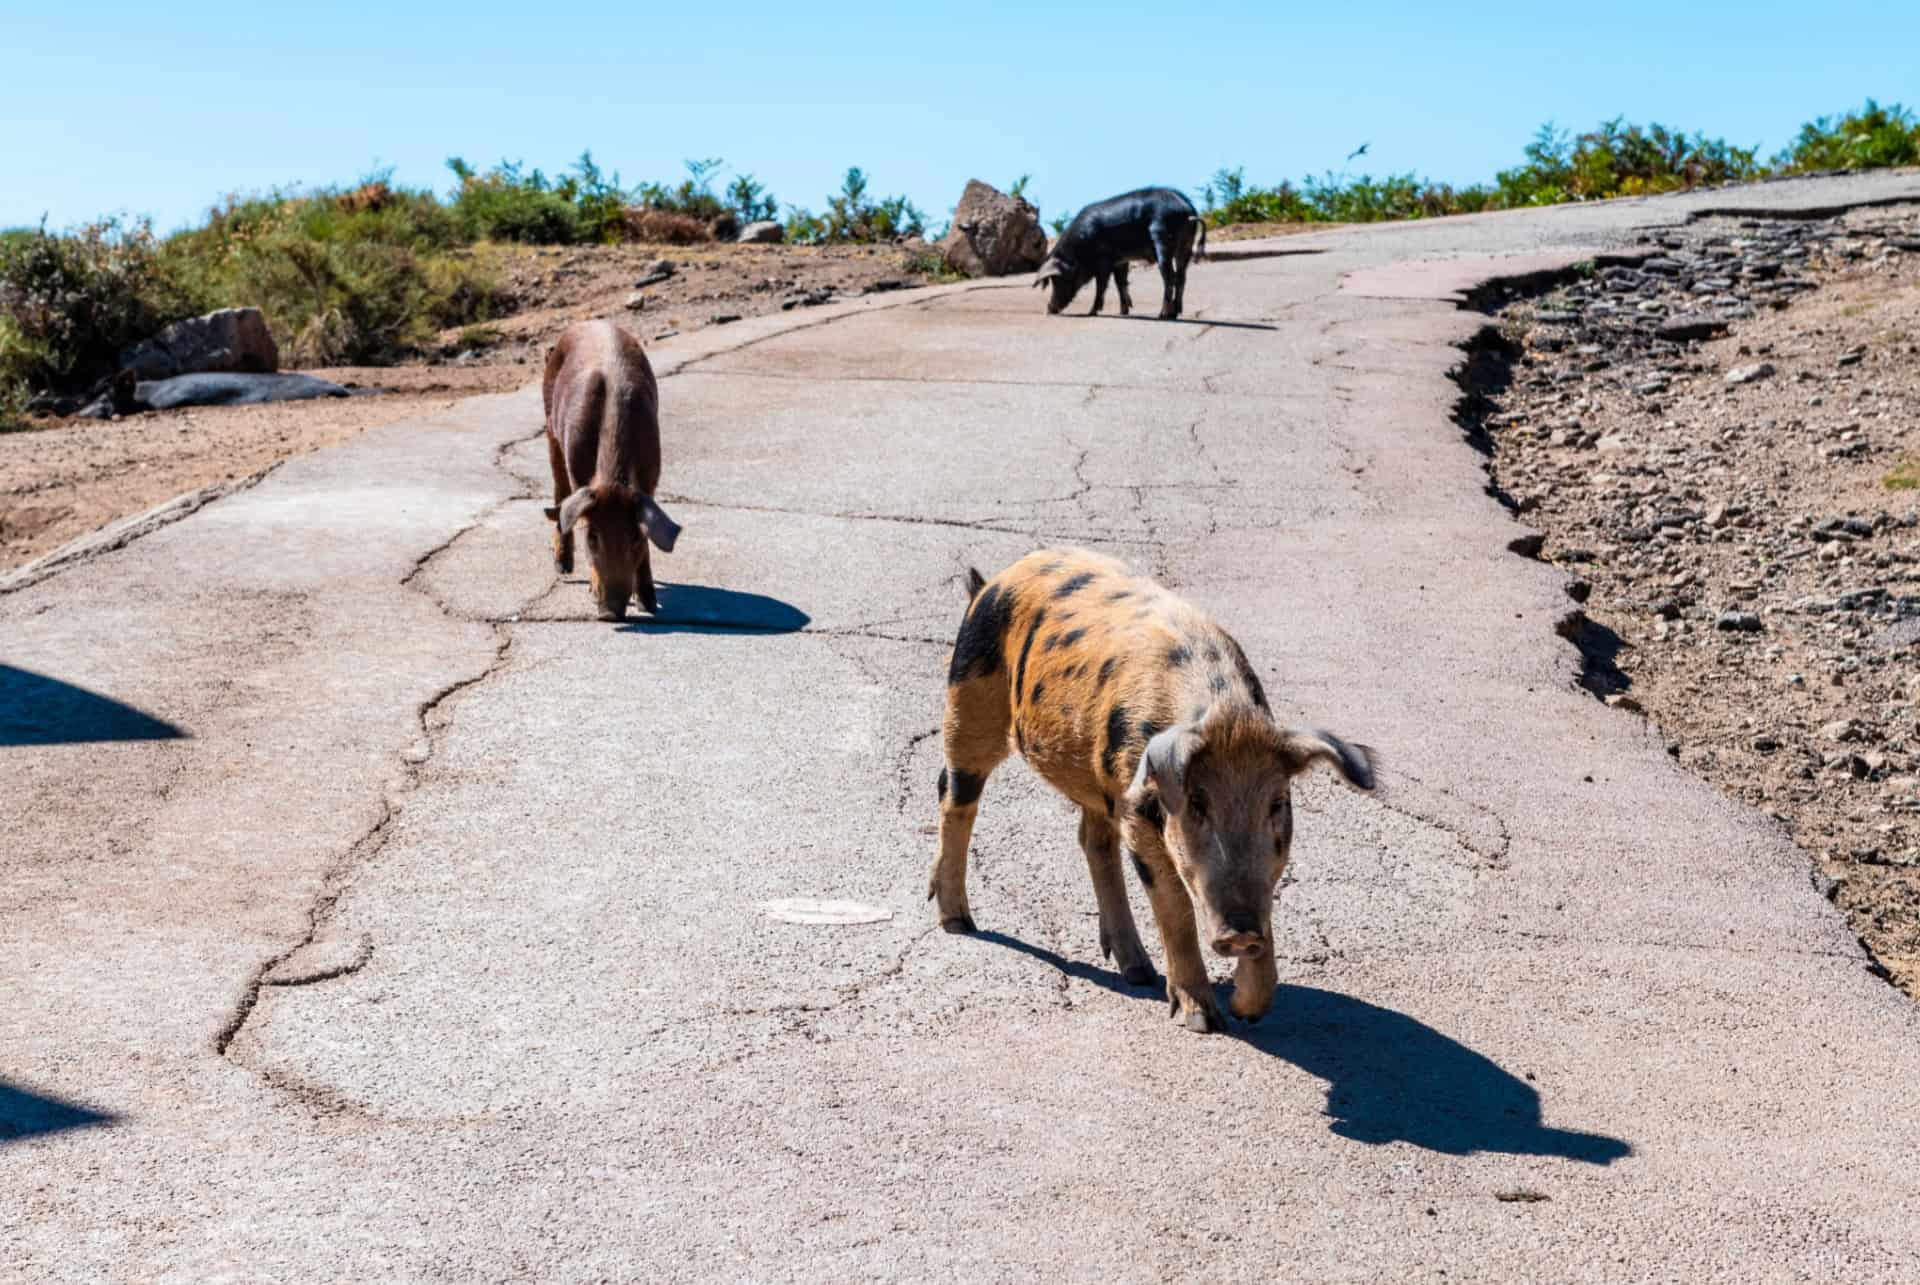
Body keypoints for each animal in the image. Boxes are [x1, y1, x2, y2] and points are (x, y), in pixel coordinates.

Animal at [541, 322, 683, 618]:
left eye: (634, 537)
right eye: (592, 537)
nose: (611, 612)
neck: (613, 481)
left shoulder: (651, 476)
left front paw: (648, 605)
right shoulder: (578, 470)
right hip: (550, 428)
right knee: (560, 491)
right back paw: (563, 567)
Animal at [925, 545, 1367, 1029]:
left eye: (1277, 803)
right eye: (1196, 803)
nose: (1240, 933)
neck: (1225, 716)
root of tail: (990, 584)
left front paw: (1245, 1010)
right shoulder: (1136, 808)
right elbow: (1174, 906)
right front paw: (1202, 1020)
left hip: (1093, 774)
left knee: (1092, 840)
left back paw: (1138, 971)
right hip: (969, 699)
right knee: (954, 794)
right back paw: (958, 922)